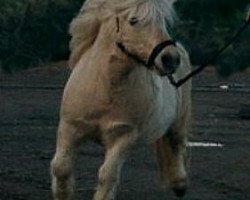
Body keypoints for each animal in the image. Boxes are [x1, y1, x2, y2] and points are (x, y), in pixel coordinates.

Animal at [50, 0, 191, 199]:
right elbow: (60, 168)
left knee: (177, 144)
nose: (170, 59)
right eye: (133, 20)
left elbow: (107, 175)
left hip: (179, 122)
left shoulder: (123, 136)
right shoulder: (70, 127)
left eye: (162, 21)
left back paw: (180, 185)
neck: (105, 87)